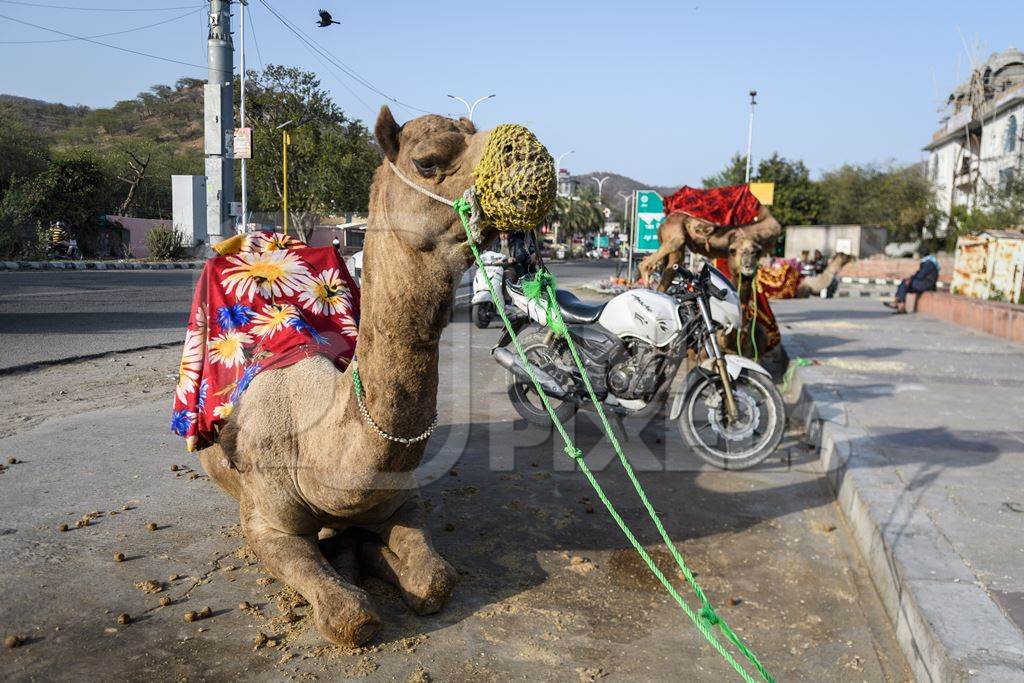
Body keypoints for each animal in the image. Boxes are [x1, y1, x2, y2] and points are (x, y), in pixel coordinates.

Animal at [196, 107, 557, 647]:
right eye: (427, 161)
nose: (527, 150)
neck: (316, 441)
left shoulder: (403, 501)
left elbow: (436, 579)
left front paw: (366, 553)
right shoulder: (267, 525)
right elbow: (351, 617)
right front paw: (349, 570)